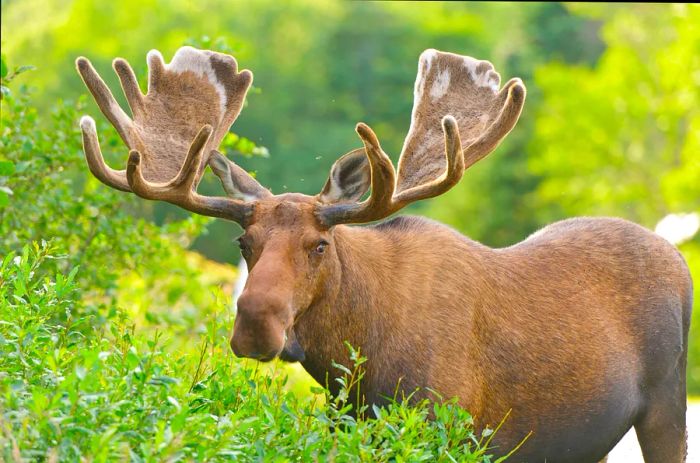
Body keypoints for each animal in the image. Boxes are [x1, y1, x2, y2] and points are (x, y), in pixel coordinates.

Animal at [75, 45, 688, 462]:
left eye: (320, 244)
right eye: (243, 243)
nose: (254, 324)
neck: (355, 359)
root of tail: (679, 259)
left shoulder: (449, 424)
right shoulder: (346, 422)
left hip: (667, 403)